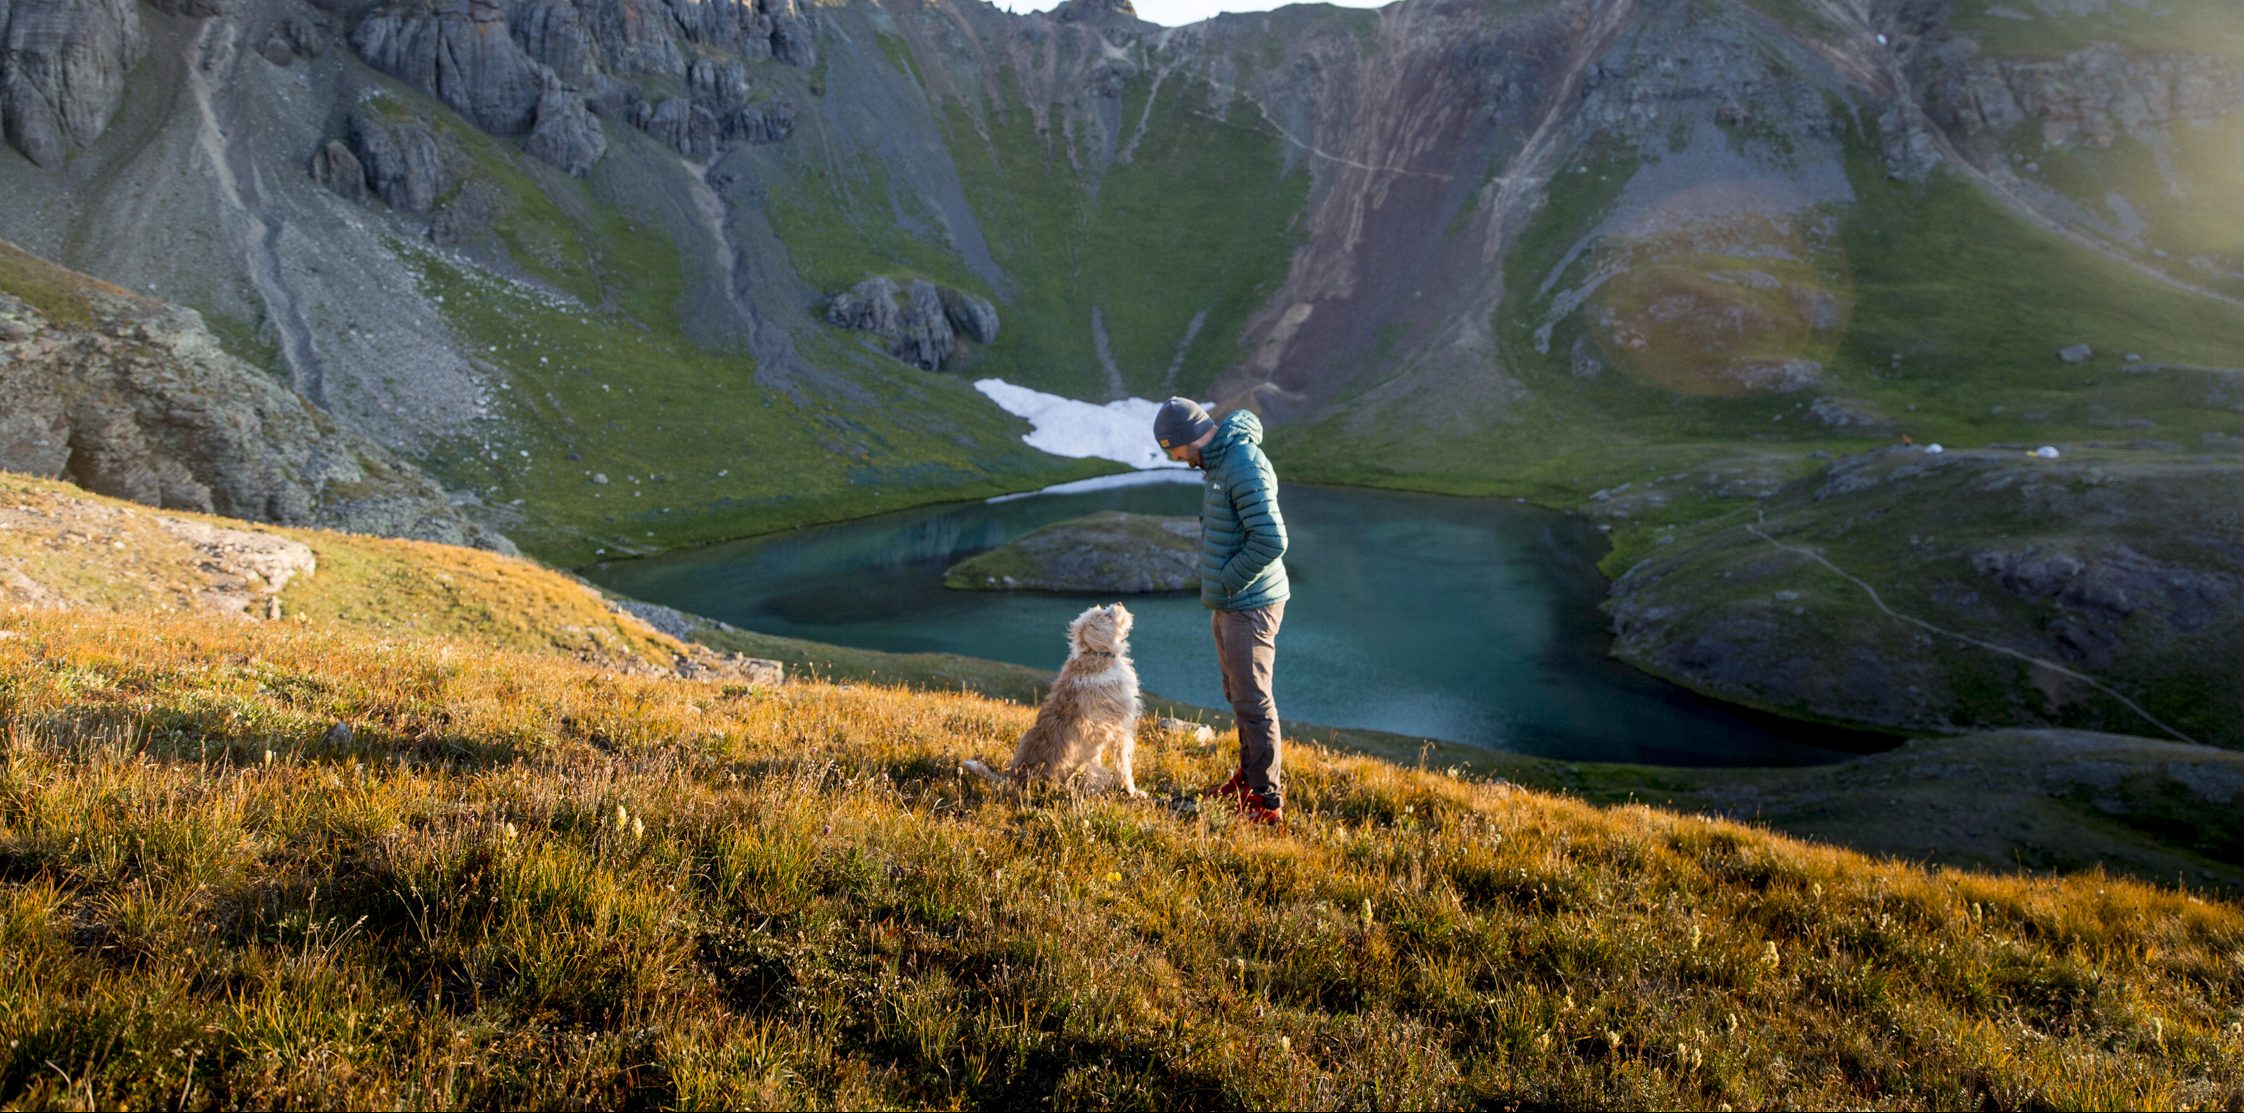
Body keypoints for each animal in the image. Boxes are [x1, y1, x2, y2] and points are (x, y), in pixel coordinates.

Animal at [964, 605, 1139, 794]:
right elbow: (1123, 763)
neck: (1096, 655)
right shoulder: (1121, 727)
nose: (1119, 604)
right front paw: (1131, 791)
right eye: (1105, 615)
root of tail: (1012, 777)